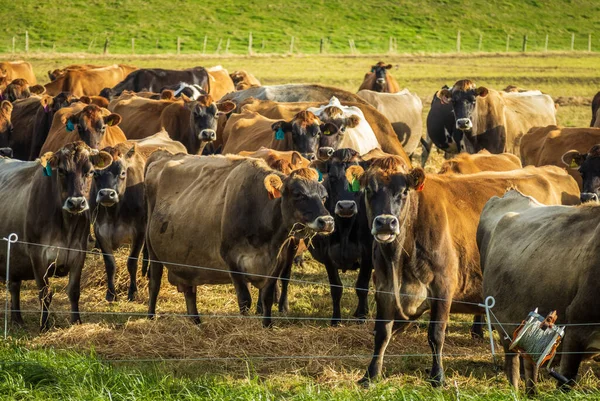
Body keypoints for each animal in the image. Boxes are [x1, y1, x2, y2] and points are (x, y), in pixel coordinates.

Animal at [0, 142, 112, 330]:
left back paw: (17, 319)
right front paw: (44, 325)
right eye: (61, 170)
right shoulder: (37, 254)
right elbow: (45, 293)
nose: (76, 202)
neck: (66, 226)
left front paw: (76, 321)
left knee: (14, 286)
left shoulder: (79, 253)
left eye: (90, 171)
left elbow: (74, 291)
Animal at [144, 152, 336, 324]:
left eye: (324, 196)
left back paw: (197, 322)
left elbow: (267, 298)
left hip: (187, 261)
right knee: (155, 282)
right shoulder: (232, 261)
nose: (327, 221)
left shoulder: (277, 264)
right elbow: (244, 301)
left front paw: (267, 326)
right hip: (152, 250)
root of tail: (163, 157)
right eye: (298, 194)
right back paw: (151, 317)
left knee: (190, 292)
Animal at [352, 159, 580, 384]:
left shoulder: (443, 287)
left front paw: (438, 377)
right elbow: (382, 333)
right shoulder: (384, 288)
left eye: (404, 191)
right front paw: (371, 374)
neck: (399, 258)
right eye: (368, 190)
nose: (385, 223)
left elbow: (436, 335)